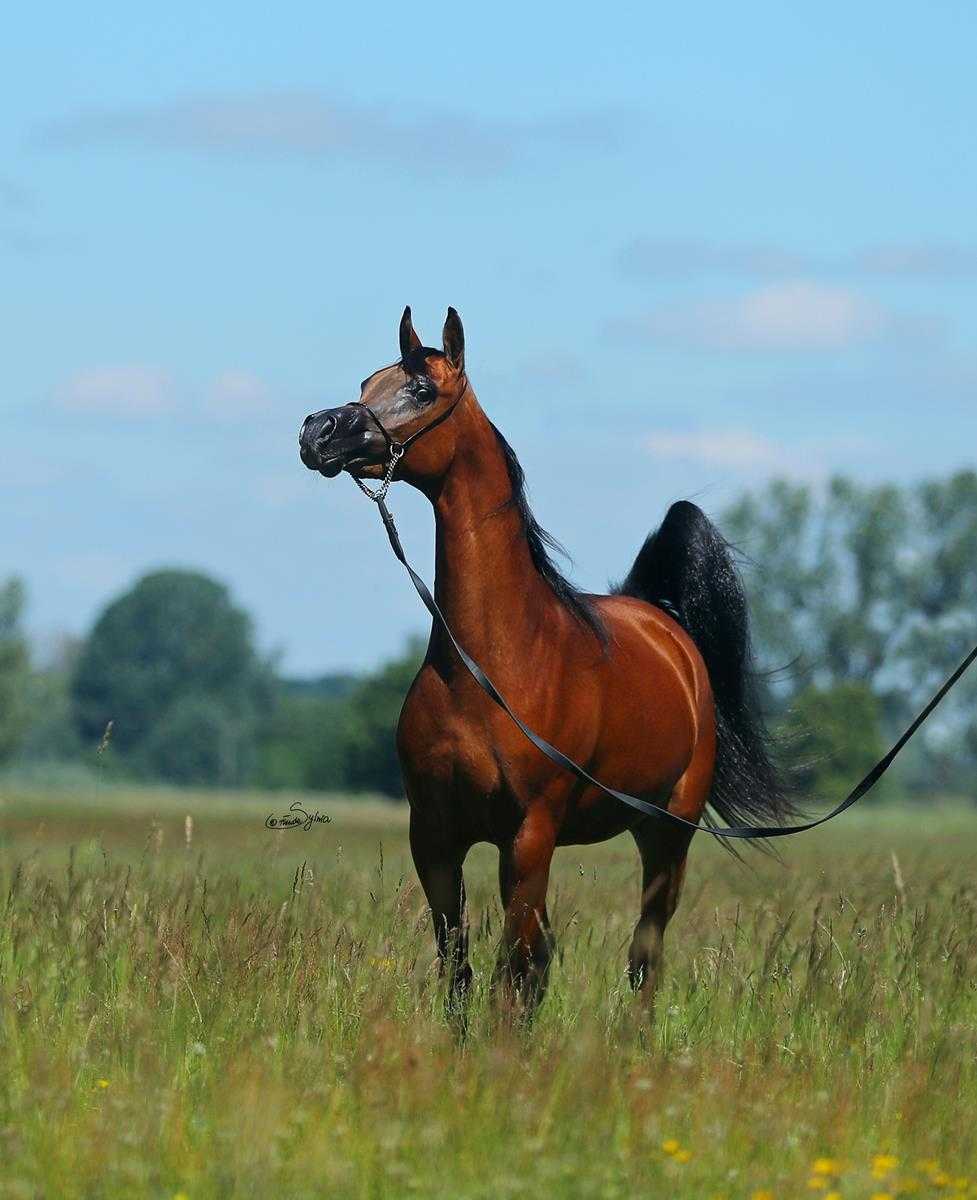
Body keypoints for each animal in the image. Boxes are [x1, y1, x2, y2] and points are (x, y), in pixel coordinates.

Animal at [299, 307, 791, 1016]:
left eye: (421, 389)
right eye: (368, 382)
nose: (319, 431)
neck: (490, 667)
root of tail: (666, 629)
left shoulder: (529, 837)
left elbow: (511, 974)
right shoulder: (436, 838)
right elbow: (463, 971)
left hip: (668, 838)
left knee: (644, 958)